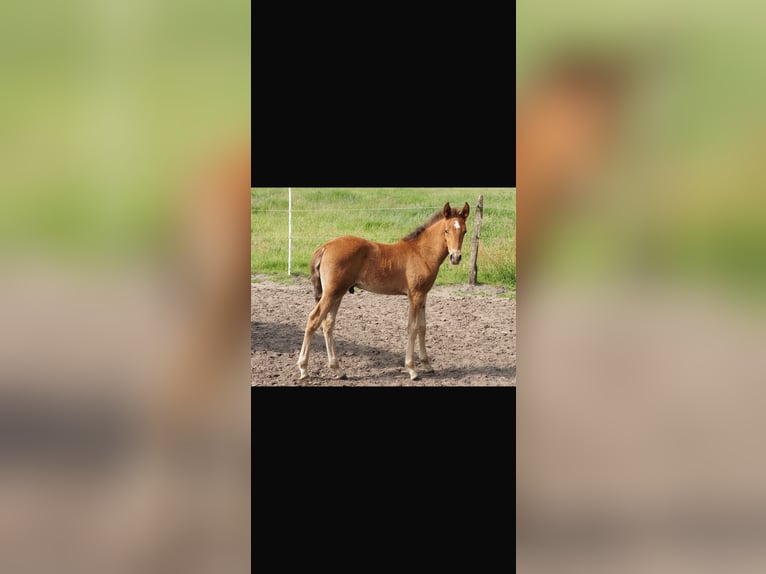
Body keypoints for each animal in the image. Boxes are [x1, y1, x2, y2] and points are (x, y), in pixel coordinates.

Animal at [297, 201, 470, 381]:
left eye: (464, 231)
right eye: (446, 230)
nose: (455, 257)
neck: (421, 252)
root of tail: (325, 247)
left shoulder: (423, 295)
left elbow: (422, 327)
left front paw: (427, 365)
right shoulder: (414, 296)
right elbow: (412, 328)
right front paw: (412, 369)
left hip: (337, 293)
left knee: (328, 324)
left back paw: (338, 369)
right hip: (331, 293)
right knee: (314, 319)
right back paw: (303, 369)